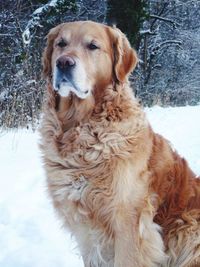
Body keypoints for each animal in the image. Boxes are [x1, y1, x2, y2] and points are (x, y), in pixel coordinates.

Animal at [39, 21, 200, 267]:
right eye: (61, 44)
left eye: (93, 46)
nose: (64, 62)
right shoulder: (86, 230)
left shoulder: (128, 222)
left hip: (188, 229)